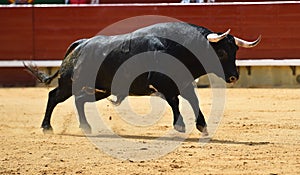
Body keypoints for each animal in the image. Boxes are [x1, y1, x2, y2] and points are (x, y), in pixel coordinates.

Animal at [24, 22, 260, 135]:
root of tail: (81, 44)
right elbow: (175, 102)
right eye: (221, 52)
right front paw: (180, 125)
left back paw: (86, 127)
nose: (233, 76)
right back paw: (47, 127)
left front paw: (202, 126)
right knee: (54, 96)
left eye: (235, 51)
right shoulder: (166, 84)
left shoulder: (184, 84)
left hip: (100, 90)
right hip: (69, 84)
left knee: (80, 100)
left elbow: (193, 101)